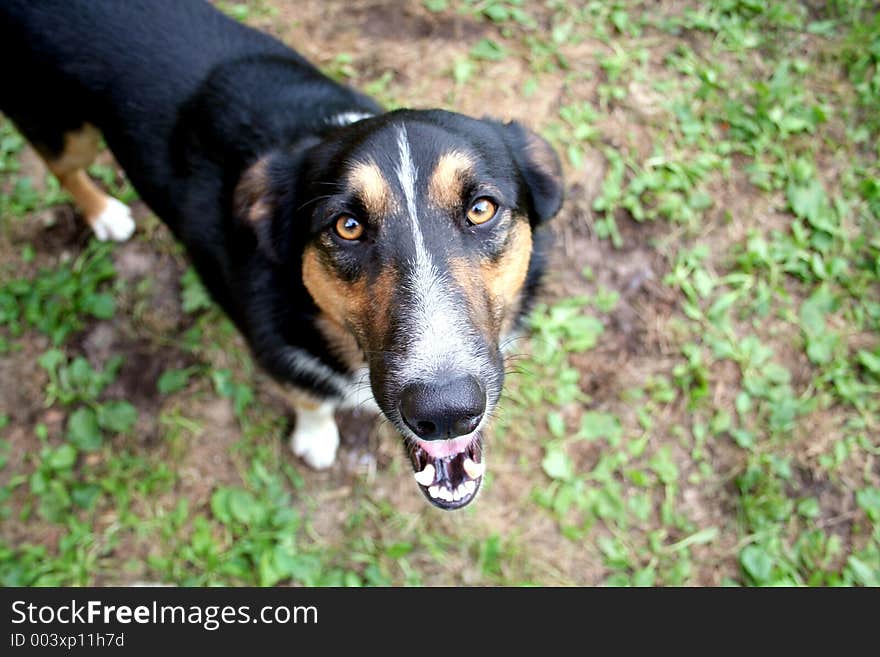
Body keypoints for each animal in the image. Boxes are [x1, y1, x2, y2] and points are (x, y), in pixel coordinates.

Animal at [0, 0, 564, 510]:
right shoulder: (275, 349)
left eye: (481, 208)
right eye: (347, 226)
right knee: (62, 168)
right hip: (61, 127)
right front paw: (316, 438)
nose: (445, 412)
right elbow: (309, 397)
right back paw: (103, 213)